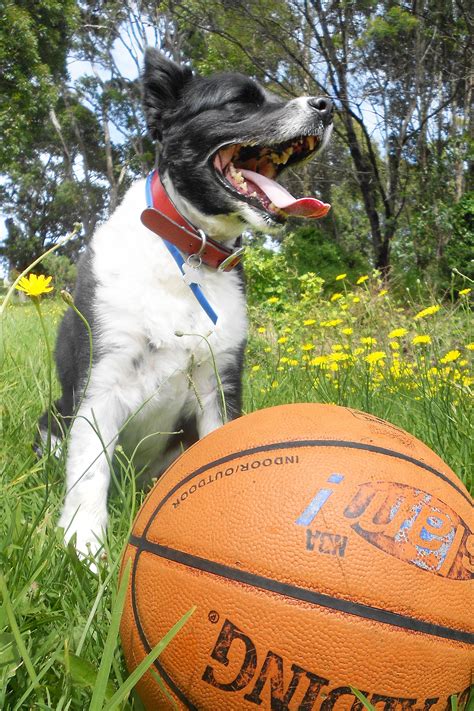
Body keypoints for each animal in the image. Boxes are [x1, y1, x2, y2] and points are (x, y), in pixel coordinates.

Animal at [41, 50, 334, 560]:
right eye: (240, 101)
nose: (327, 105)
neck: (188, 250)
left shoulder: (220, 385)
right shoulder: (101, 384)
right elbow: (89, 474)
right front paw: (85, 550)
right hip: (53, 417)